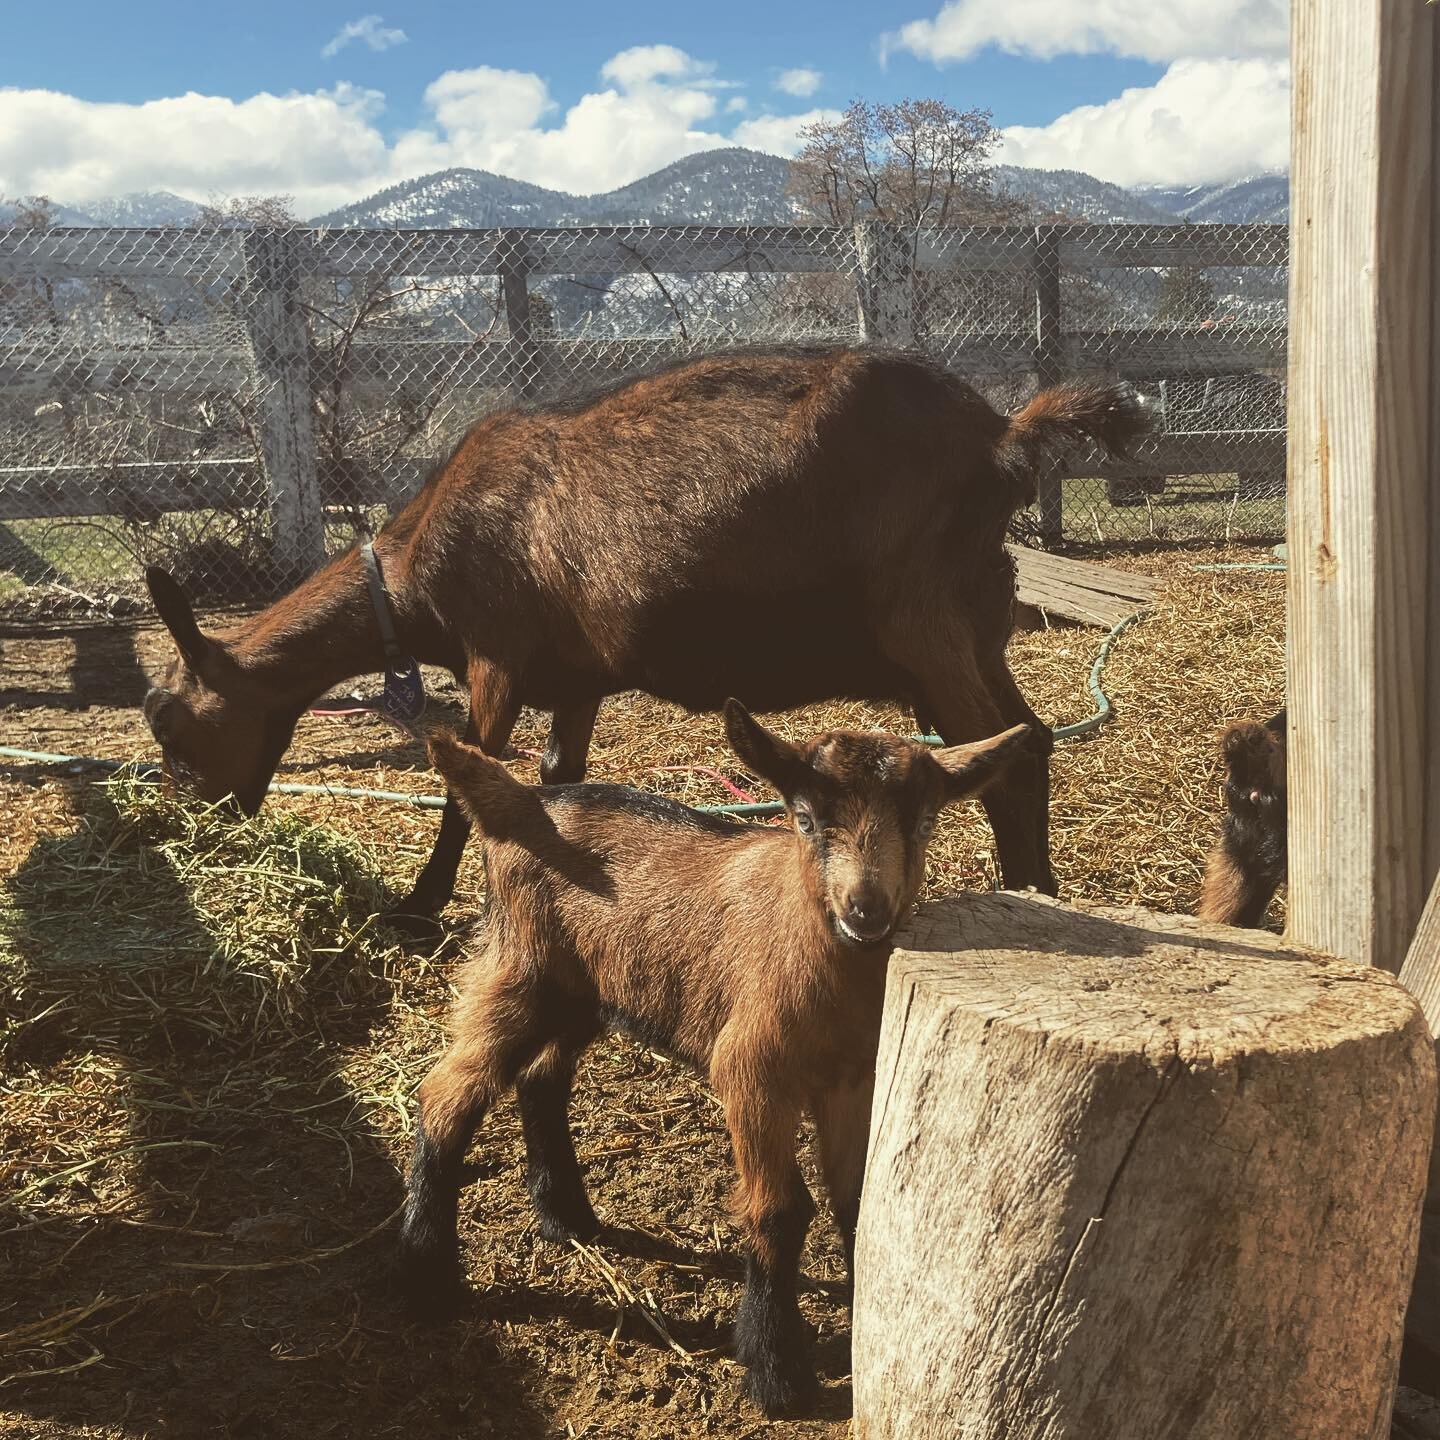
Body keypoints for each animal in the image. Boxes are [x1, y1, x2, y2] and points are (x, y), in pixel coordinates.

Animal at [137, 344, 1146, 927]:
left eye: (172, 727)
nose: (194, 827)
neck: (414, 568)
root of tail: (1003, 436)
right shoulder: (575, 679)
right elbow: (554, 780)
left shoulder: (495, 653)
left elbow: (467, 783)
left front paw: (420, 910)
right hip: (973, 624)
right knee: (1032, 738)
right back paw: (1037, 891)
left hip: (923, 623)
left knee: (1007, 760)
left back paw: (1028, 897)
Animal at [397, 702, 1036, 1411]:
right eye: (806, 818)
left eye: (923, 823)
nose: (865, 912)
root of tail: (522, 801)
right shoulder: (752, 1070)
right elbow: (779, 1210)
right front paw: (776, 1369)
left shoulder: (852, 1080)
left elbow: (854, 1196)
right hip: (519, 971)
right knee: (447, 1094)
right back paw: (426, 1275)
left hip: (582, 990)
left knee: (541, 1080)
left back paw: (566, 1217)